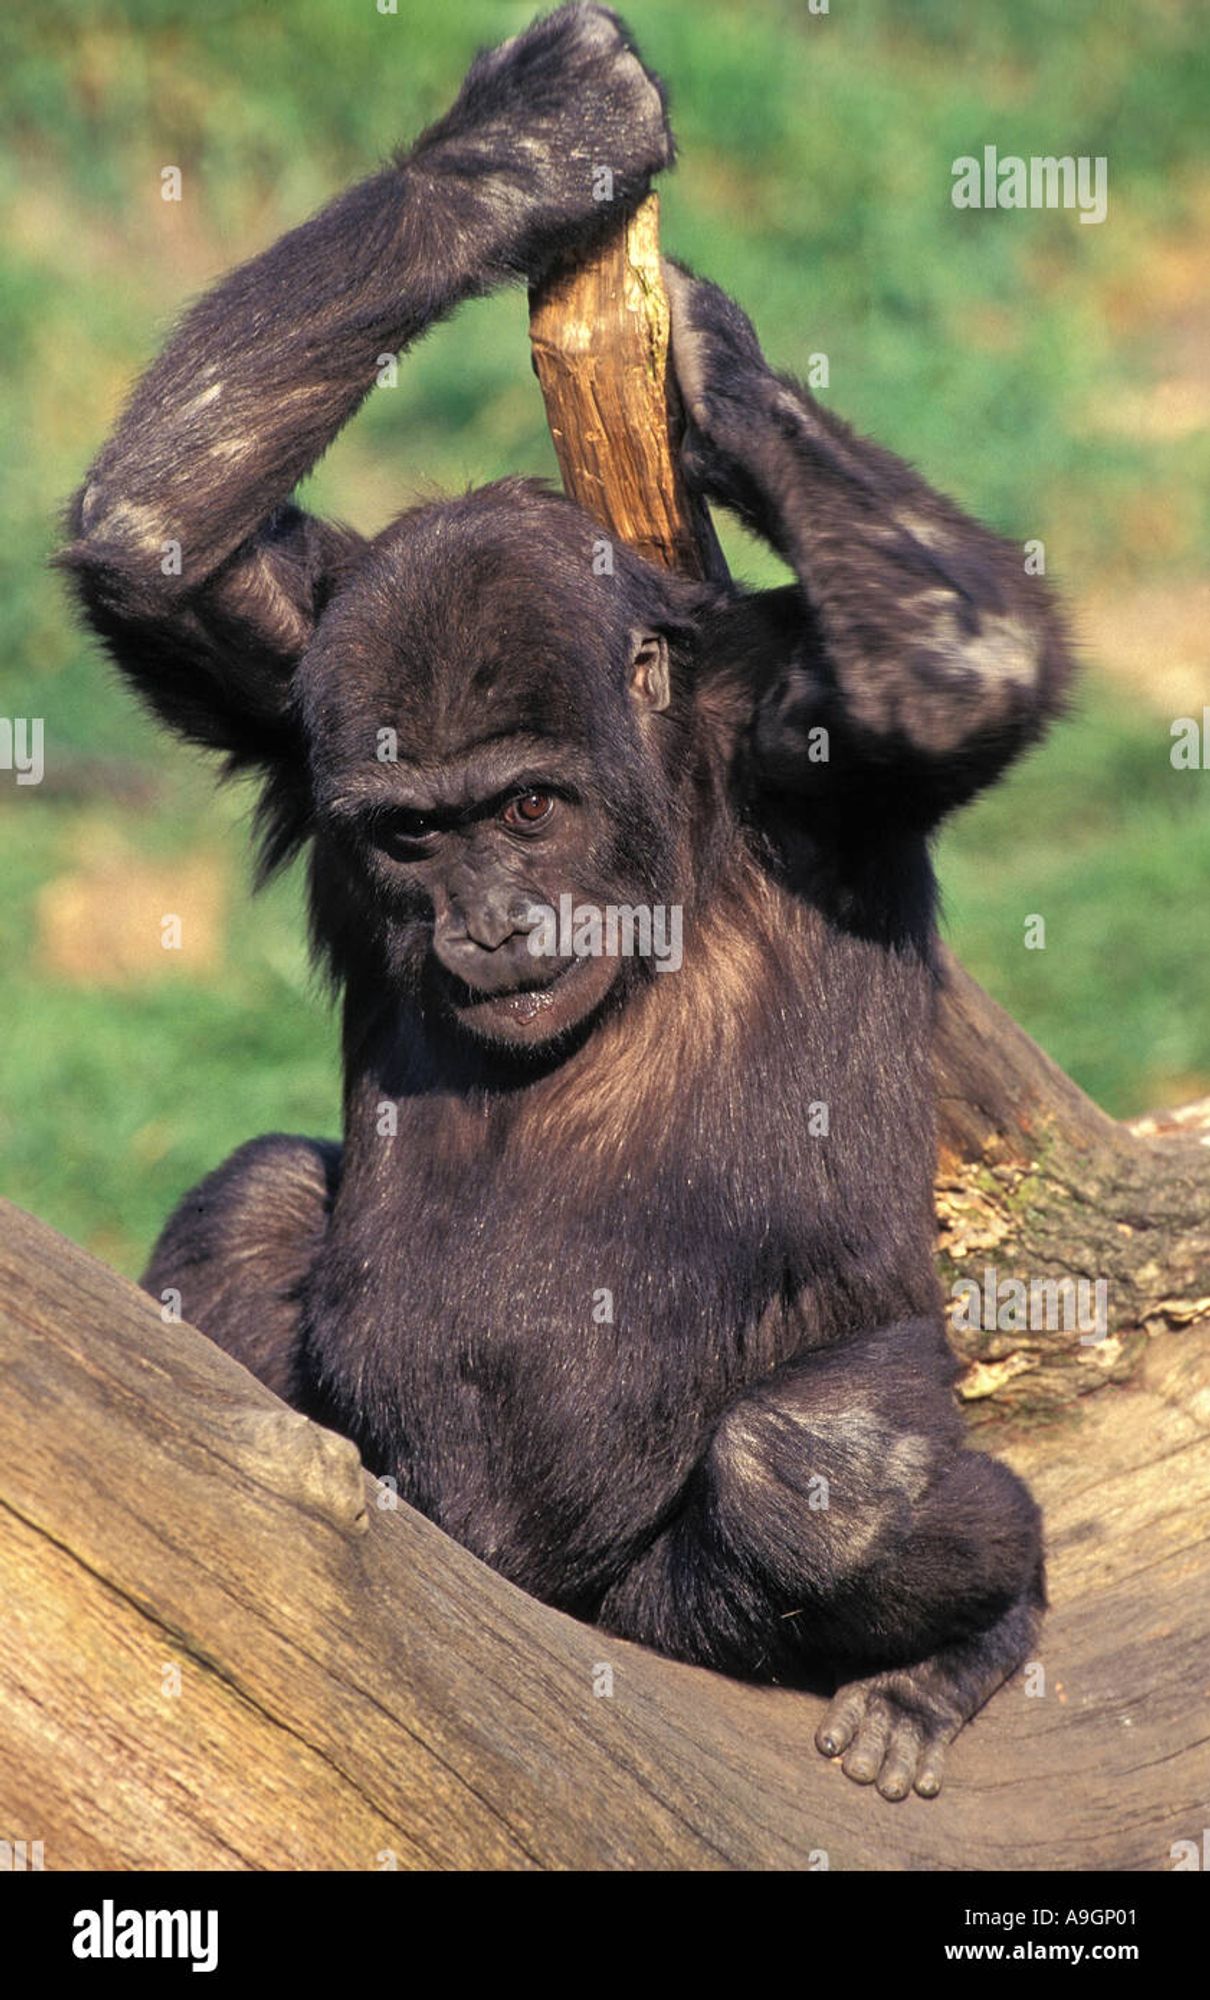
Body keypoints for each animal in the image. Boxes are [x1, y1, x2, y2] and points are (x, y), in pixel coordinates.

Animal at [61, 0, 1072, 1808]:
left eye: (528, 810)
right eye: (410, 837)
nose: (485, 918)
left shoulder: (811, 757)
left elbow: (965, 673)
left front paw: (719, 373)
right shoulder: (282, 670)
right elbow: (160, 535)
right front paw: (529, 144)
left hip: (674, 1604)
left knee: (820, 1469)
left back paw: (960, 1653)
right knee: (259, 1200)